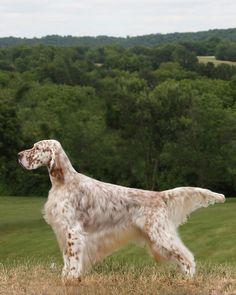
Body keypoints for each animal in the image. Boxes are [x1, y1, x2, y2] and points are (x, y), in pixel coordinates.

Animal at [18, 140, 225, 286]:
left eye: (36, 148)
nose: (19, 155)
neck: (64, 182)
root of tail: (159, 195)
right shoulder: (63, 232)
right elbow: (67, 260)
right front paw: (65, 278)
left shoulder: (73, 231)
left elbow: (74, 260)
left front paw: (72, 280)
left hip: (160, 235)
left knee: (187, 258)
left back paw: (188, 281)